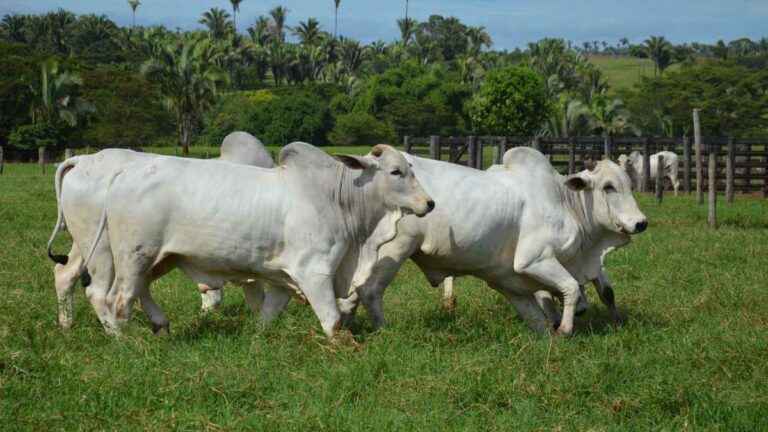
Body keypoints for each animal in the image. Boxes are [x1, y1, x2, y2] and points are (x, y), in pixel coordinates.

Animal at [46, 132, 274, 328]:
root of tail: (83, 160)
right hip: (104, 249)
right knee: (98, 292)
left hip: (86, 240)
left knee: (65, 274)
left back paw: (66, 325)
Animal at [78, 143, 436, 338]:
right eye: (395, 171)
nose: (429, 203)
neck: (337, 198)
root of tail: (125, 172)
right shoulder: (315, 272)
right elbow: (332, 320)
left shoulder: (282, 279)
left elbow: (267, 315)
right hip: (132, 256)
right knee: (113, 297)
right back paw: (123, 339)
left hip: (160, 258)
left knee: (137, 290)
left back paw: (160, 325)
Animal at [344, 147, 644, 336]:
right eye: (608, 187)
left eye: (630, 184)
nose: (641, 222)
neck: (566, 202)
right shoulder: (534, 259)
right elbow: (570, 288)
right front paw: (565, 329)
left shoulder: (509, 280)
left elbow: (545, 314)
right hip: (395, 249)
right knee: (369, 291)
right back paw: (382, 330)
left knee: (352, 292)